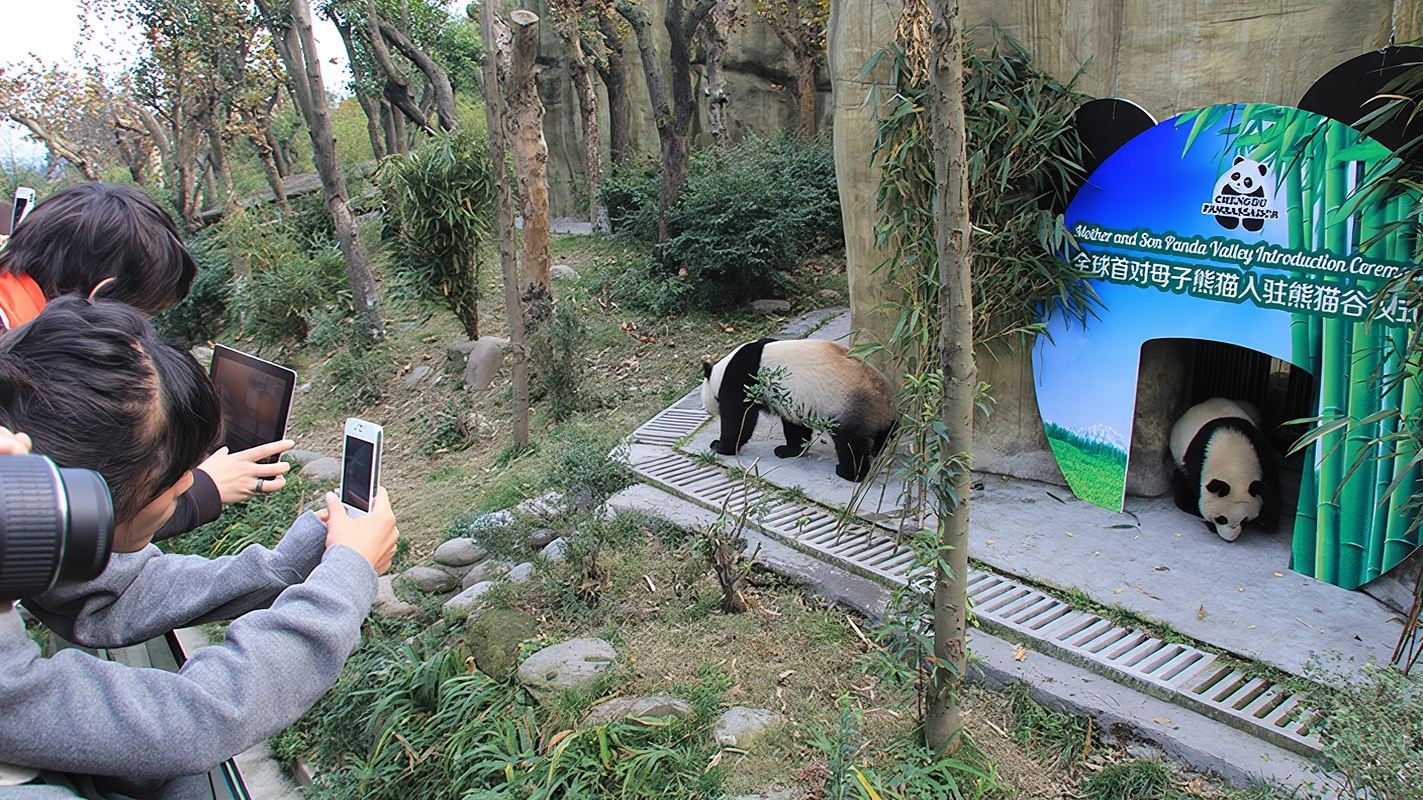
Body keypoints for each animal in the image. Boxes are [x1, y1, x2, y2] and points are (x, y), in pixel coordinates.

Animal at [701, 338, 896, 482]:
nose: (707, 409)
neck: (721, 371)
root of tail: (881, 393)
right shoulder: (793, 400)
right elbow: (795, 426)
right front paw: (788, 450)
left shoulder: (742, 380)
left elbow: (739, 419)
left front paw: (720, 445)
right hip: (878, 411)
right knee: (888, 431)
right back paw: (881, 449)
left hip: (847, 404)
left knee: (849, 442)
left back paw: (849, 473)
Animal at [1169, 397, 1281, 542]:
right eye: (1221, 519)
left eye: (1244, 520)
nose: (1230, 539)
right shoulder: (1197, 462)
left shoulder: (1259, 450)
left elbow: (1270, 485)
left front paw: (1267, 522)